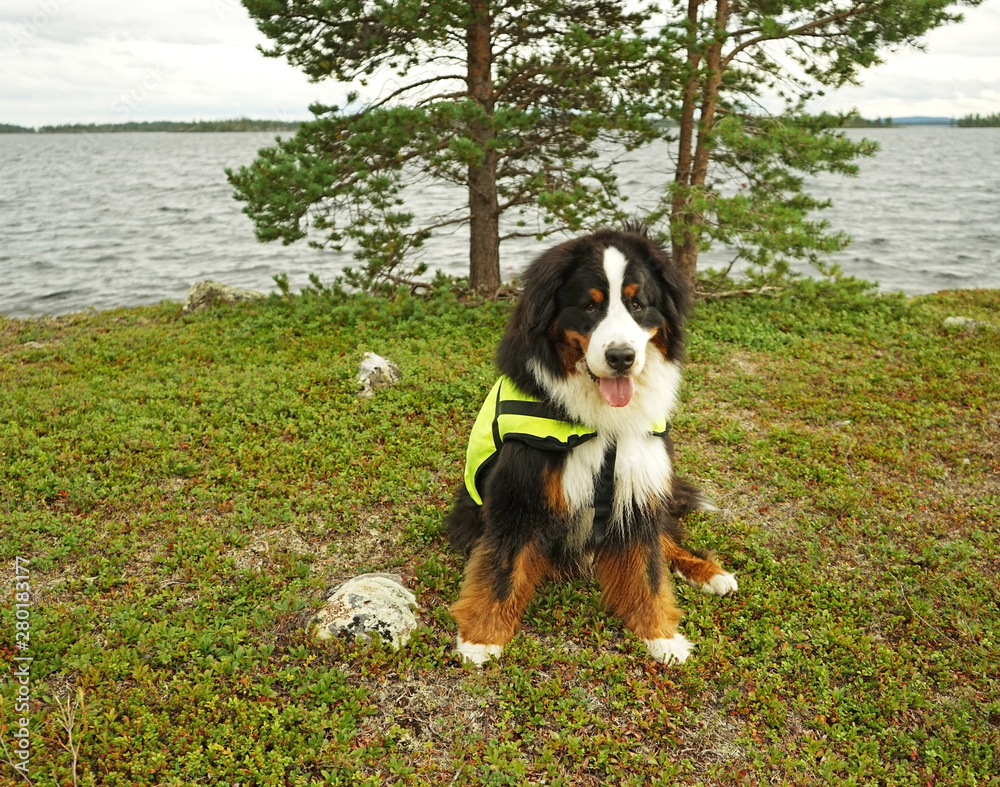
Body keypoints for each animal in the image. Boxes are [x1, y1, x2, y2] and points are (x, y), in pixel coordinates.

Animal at [446, 222, 736, 664]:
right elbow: (502, 568)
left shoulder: (637, 484)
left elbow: (647, 569)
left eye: (637, 304)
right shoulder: (520, 490)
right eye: (588, 307)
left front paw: (661, 636)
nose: (621, 357)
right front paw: (482, 638)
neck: (603, 423)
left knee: (667, 539)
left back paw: (709, 573)